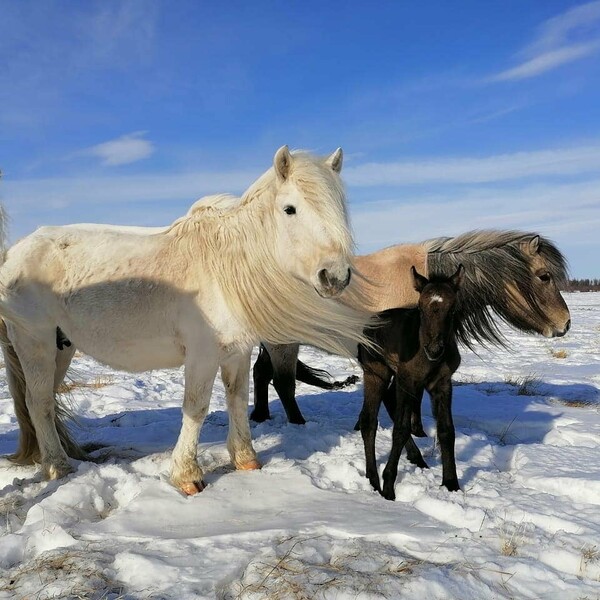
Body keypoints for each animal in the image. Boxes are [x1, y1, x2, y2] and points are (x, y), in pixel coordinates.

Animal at [0, 148, 376, 494]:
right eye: (290, 209)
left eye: (338, 208)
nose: (335, 277)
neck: (227, 268)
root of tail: (15, 253)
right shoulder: (203, 354)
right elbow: (196, 407)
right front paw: (187, 476)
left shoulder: (237, 352)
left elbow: (237, 398)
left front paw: (246, 460)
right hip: (35, 342)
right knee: (38, 402)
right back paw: (58, 467)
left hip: (61, 347)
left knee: (45, 400)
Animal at [251, 229, 568, 422]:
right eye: (544, 276)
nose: (565, 323)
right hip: (283, 343)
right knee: (283, 383)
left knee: (261, 374)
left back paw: (261, 416)